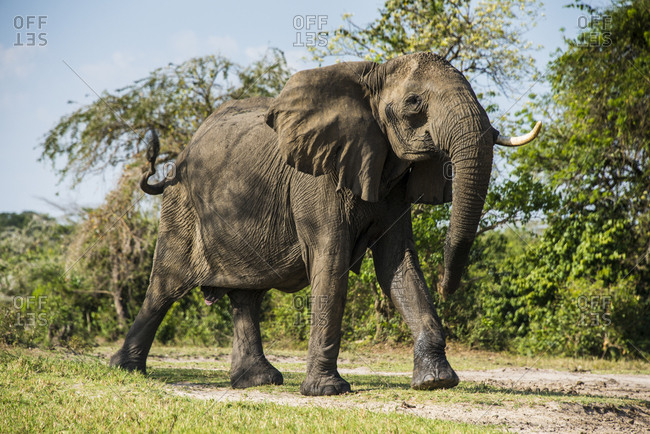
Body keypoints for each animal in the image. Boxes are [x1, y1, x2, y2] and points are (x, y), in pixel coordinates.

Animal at [110, 52, 540, 396]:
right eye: (414, 103)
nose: (448, 287)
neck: (372, 76)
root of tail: (175, 160)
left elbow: (397, 264)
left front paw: (437, 382)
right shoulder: (316, 178)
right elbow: (331, 260)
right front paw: (327, 391)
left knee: (246, 296)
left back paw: (258, 381)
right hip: (182, 206)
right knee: (165, 285)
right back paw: (125, 370)